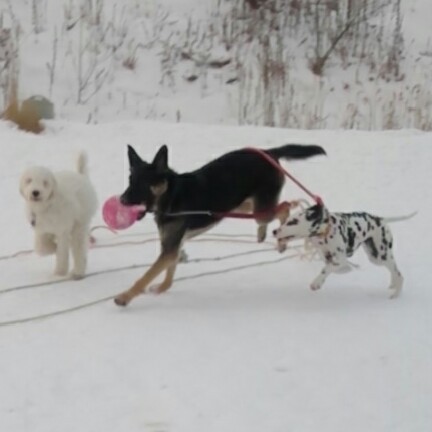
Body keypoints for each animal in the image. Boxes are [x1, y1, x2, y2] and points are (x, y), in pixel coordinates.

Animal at [20, 152, 97, 280]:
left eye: (45, 182)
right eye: (29, 180)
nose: (35, 192)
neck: (46, 206)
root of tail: (82, 176)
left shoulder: (62, 231)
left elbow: (62, 252)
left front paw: (59, 272)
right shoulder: (41, 230)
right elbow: (40, 248)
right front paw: (53, 248)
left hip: (80, 223)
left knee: (79, 247)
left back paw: (77, 272)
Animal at [114, 143, 324, 306]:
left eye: (144, 183)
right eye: (130, 180)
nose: (122, 200)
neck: (172, 195)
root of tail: (268, 152)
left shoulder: (170, 248)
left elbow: (144, 277)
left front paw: (124, 297)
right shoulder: (172, 246)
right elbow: (169, 273)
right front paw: (162, 288)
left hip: (260, 210)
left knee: (285, 207)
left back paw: (281, 241)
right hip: (244, 206)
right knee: (272, 210)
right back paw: (262, 234)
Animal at [276, 204, 416, 298]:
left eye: (293, 222)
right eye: (287, 220)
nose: (274, 231)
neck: (326, 231)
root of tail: (382, 219)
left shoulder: (340, 258)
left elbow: (327, 269)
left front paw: (316, 283)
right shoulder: (328, 257)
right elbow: (332, 267)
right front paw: (345, 270)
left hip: (381, 255)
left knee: (399, 274)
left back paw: (396, 294)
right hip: (375, 257)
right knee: (393, 270)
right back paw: (393, 284)